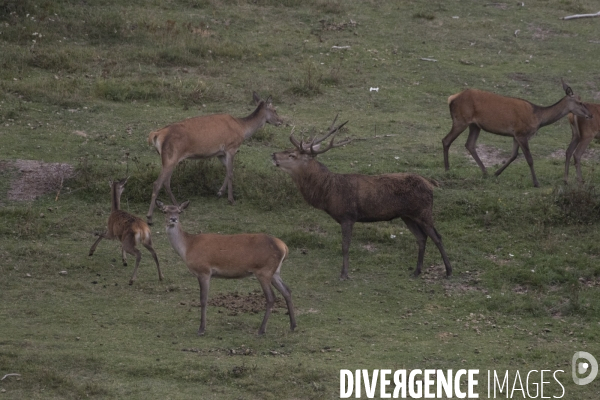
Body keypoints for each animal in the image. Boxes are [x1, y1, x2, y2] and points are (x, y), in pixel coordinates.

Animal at [146, 92, 284, 225]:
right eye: (275, 110)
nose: (281, 121)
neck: (242, 129)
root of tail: (156, 134)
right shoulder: (231, 147)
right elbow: (231, 173)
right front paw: (231, 199)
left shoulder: (220, 153)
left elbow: (227, 170)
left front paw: (219, 192)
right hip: (171, 157)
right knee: (157, 183)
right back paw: (150, 217)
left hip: (169, 159)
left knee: (166, 182)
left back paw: (178, 206)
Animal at [155, 199, 296, 334]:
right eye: (164, 211)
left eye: (179, 211)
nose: (173, 219)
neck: (188, 247)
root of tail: (284, 247)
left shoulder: (204, 271)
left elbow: (203, 299)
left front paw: (201, 329)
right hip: (275, 272)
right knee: (287, 291)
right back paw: (293, 326)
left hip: (263, 270)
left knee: (271, 297)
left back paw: (261, 330)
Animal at [270, 115, 450, 280]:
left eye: (292, 155)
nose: (273, 155)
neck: (328, 192)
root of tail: (431, 184)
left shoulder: (348, 216)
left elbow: (345, 246)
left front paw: (344, 274)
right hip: (407, 215)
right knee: (421, 237)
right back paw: (416, 271)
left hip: (423, 211)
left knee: (437, 237)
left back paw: (448, 271)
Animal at [440, 80, 592, 188]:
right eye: (580, 102)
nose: (590, 115)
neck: (538, 118)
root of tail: (451, 98)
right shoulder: (521, 133)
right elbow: (529, 159)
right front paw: (536, 183)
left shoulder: (515, 135)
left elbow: (513, 155)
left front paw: (496, 173)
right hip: (461, 120)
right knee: (446, 140)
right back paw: (447, 170)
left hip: (475, 125)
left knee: (470, 144)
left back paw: (485, 172)